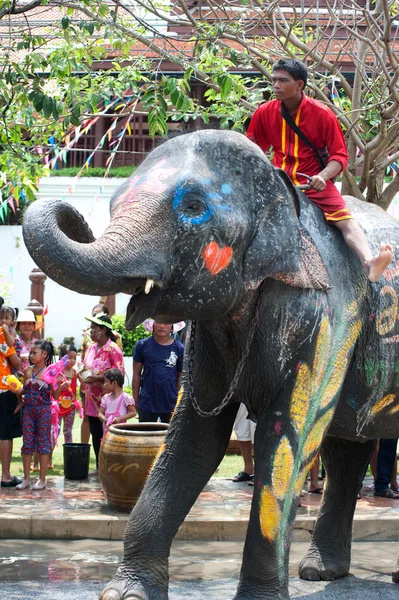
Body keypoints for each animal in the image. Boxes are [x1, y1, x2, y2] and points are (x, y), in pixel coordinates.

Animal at [23, 131, 399, 600]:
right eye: (112, 205)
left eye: (193, 207)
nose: (70, 211)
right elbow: (193, 438)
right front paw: (127, 594)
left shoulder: (328, 315)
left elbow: (285, 438)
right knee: (347, 447)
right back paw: (321, 572)